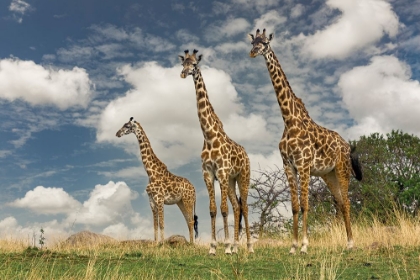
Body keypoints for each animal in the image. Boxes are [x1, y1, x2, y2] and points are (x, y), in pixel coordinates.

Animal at [177, 49, 253, 255]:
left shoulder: (222, 172)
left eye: (194, 64)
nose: (183, 74)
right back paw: (236, 246)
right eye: (182, 64)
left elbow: (223, 209)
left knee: (244, 207)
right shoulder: (208, 174)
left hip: (243, 176)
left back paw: (249, 247)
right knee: (237, 207)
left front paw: (225, 246)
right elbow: (213, 209)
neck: (209, 136)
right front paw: (213, 247)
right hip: (232, 181)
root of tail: (247, 155)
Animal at [248, 29, 362, 254]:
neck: (288, 119)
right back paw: (346, 242)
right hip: (329, 174)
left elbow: (305, 205)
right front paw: (293, 246)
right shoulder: (288, 166)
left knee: (346, 201)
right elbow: (294, 206)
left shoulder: (304, 165)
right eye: (252, 42)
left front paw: (304, 246)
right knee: (340, 202)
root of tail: (347, 146)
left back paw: (351, 243)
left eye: (265, 43)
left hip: (342, 169)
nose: (253, 52)